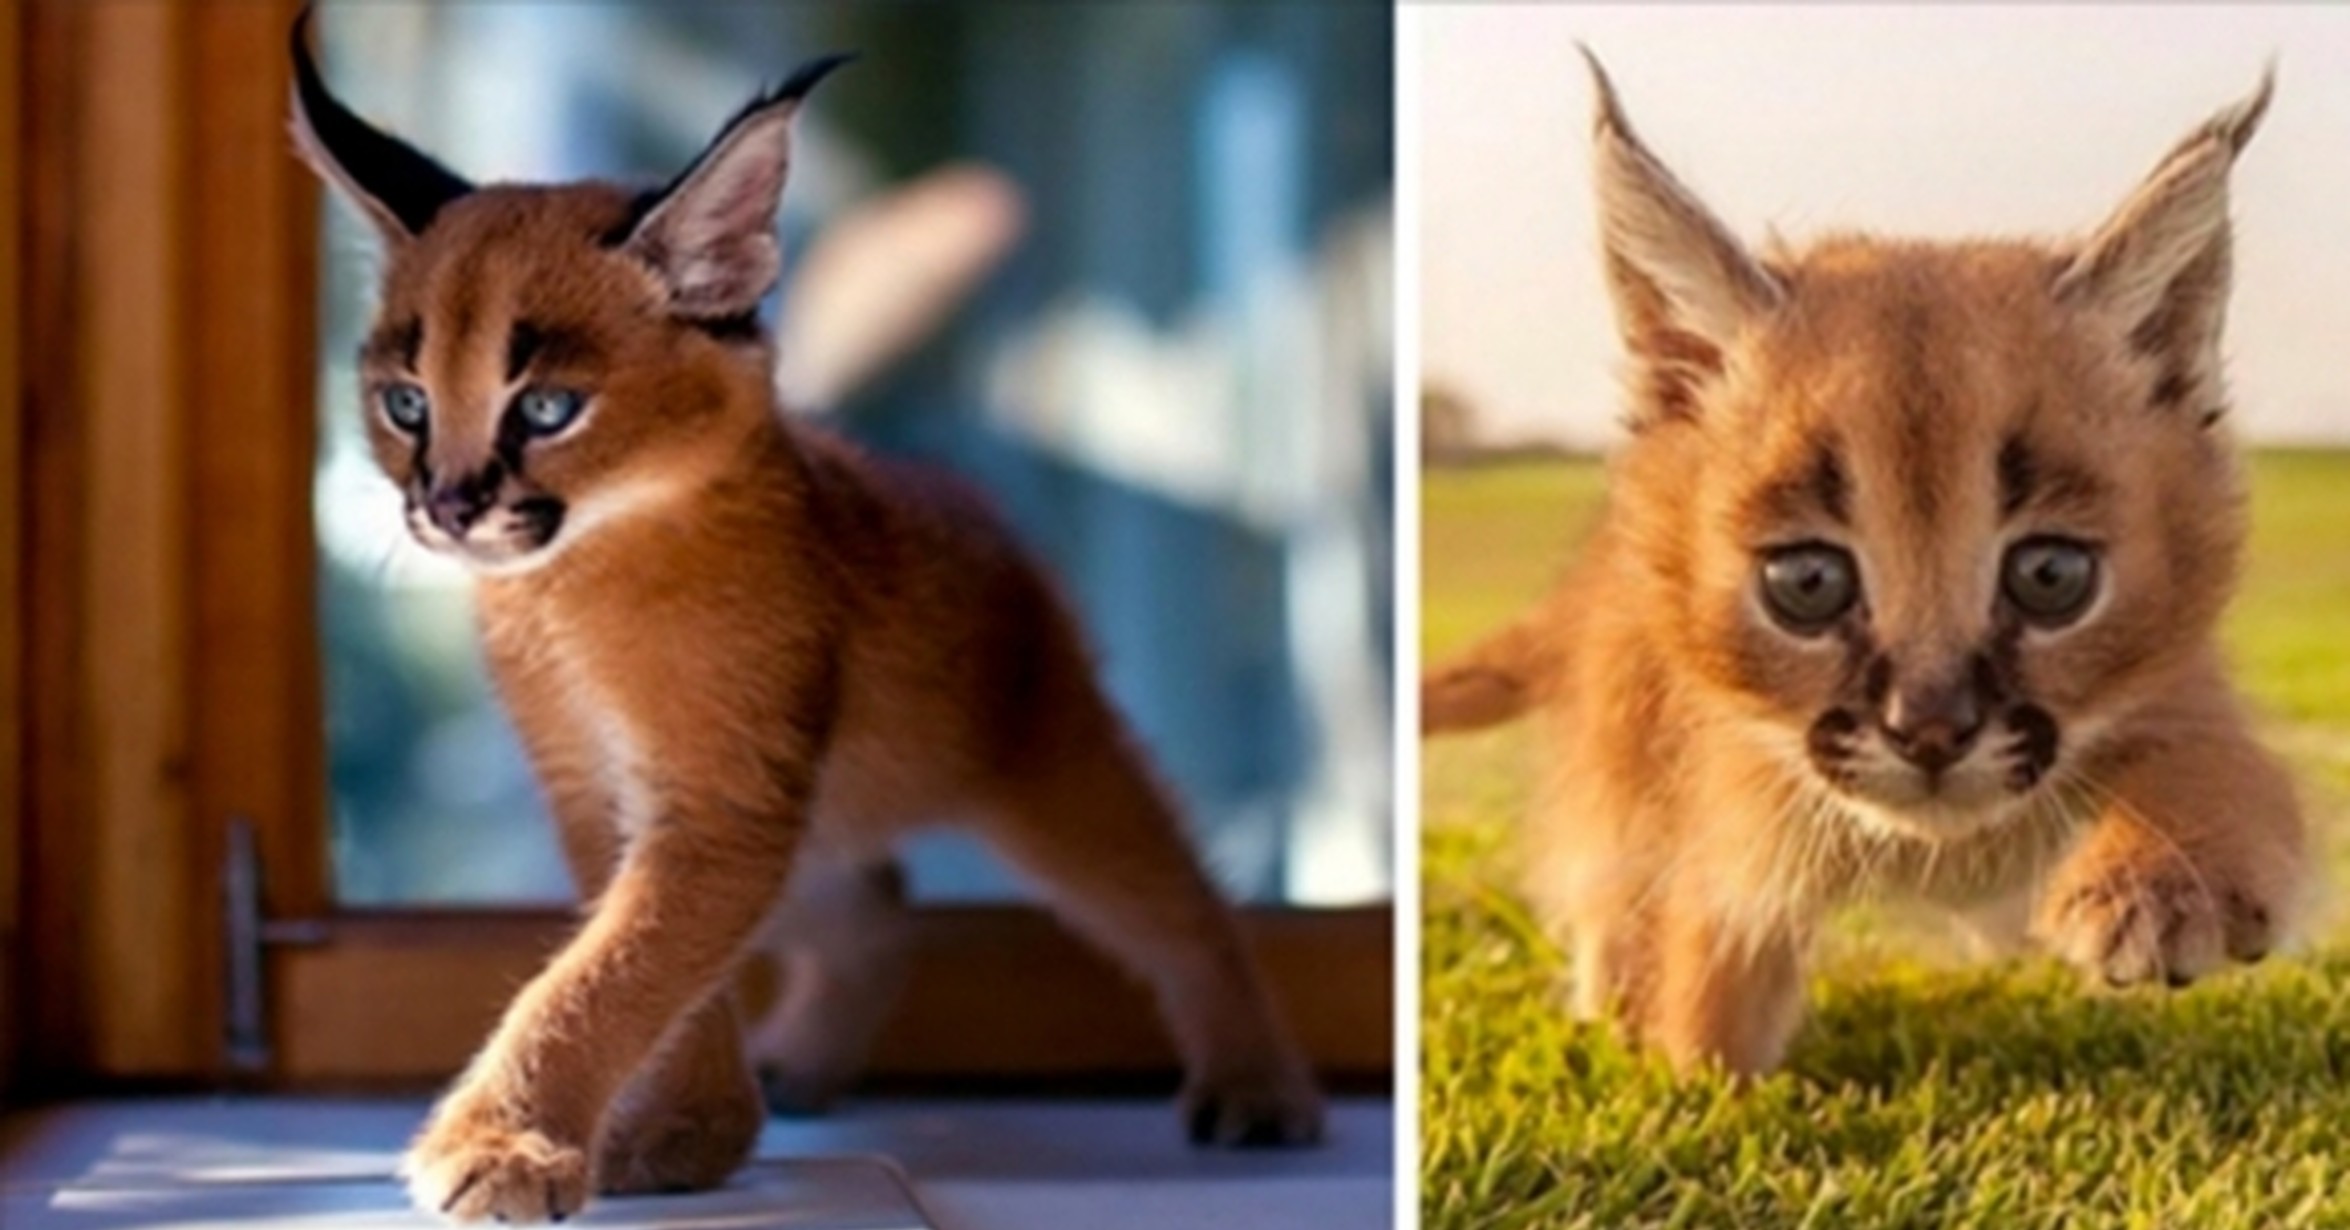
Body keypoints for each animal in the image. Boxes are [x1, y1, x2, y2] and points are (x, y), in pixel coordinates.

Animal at [289, 21, 1325, 1230]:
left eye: (547, 407)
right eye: (405, 402)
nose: (447, 506)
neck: (574, 586)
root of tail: (960, 493)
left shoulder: (721, 802)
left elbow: (615, 967)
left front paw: (514, 1143)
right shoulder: (613, 796)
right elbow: (653, 957)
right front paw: (685, 1134)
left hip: (1051, 766)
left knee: (1183, 904)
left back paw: (1259, 1088)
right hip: (826, 807)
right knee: (877, 905)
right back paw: (804, 1064)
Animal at [1419, 52, 2303, 1077]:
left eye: (2051, 576)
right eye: (1806, 584)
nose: (1929, 731)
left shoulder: (2183, 690)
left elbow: (2219, 771)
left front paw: (2159, 883)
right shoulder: (1724, 837)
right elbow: (1705, 991)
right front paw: (1685, 1073)